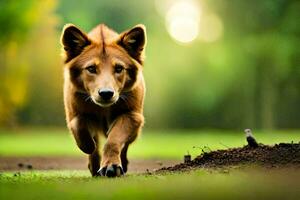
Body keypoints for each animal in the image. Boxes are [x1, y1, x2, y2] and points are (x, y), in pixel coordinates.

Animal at [59, 23, 145, 177]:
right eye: (91, 68)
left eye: (119, 68)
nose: (106, 93)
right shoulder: (74, 112)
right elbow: (78, 125)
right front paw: (88, 146)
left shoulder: (132, 115)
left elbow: (113, 140)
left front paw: (111, 166)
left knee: (125, 145)